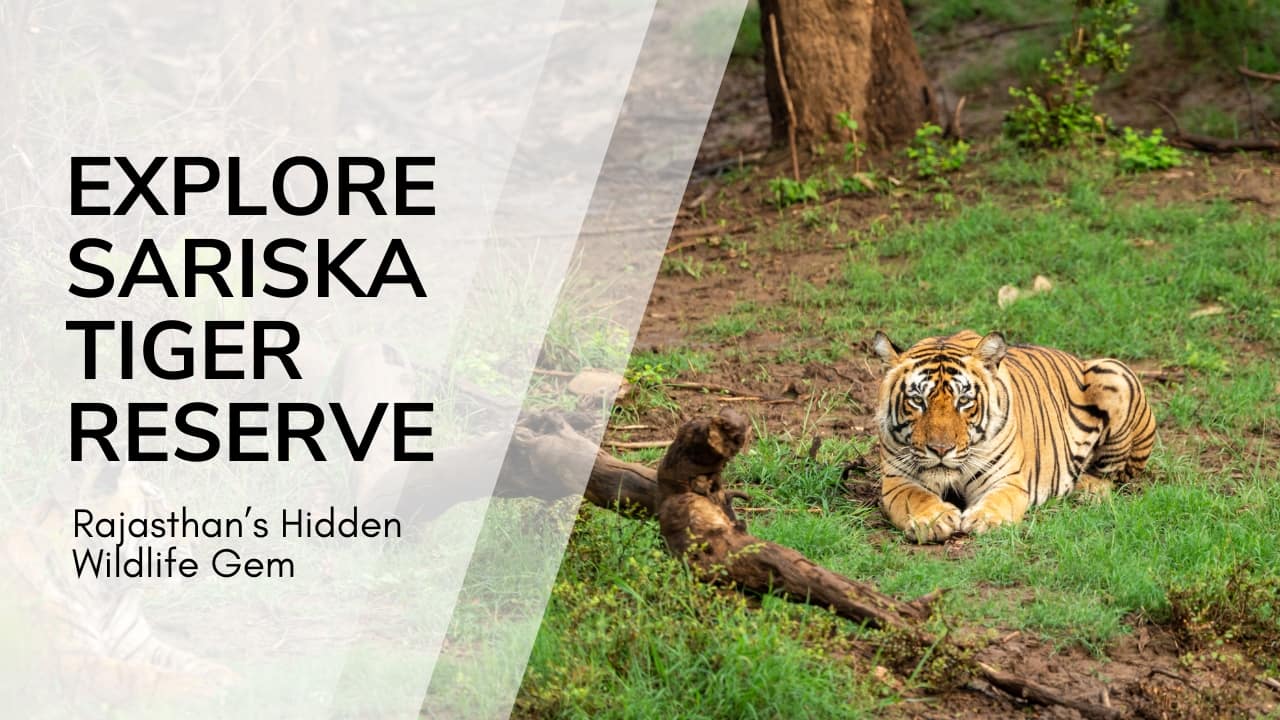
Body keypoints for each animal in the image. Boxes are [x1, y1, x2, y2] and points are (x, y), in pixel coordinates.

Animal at [0, 463, 237, 713]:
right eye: (159, 505)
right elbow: (140, 676)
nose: (196, 543)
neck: (105, 591)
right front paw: (203, 689)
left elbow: (187, 660)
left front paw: (231, 678)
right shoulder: (75, 664)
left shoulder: (140, 646)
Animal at [871, 330, 1155, 543]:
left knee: (1115, 475)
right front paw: (933, 520)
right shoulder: (897, 480)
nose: (941, 450)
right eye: (918, 401)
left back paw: (1088, 488)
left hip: (1113, 371)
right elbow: (916, 497)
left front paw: (985, 520)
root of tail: (1078, 359)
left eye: (963, 401)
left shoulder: (1007, 480)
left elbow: (999, 500)